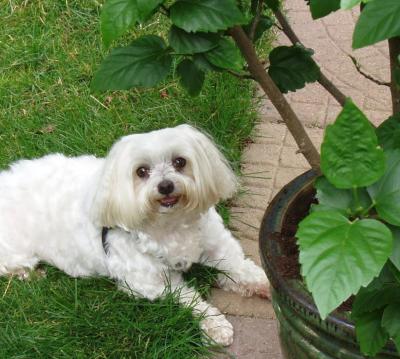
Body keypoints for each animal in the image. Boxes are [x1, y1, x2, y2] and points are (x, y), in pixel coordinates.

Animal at [0, 125, 270, 348]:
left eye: (180, 161)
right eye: (141, 171)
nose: (165, 185)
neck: (170, 224)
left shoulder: (218, 245)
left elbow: (242, 267)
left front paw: (267, 285)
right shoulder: (148, 282)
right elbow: (189, 297)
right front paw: (214, 324)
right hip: (15, 251)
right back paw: (30, 274)